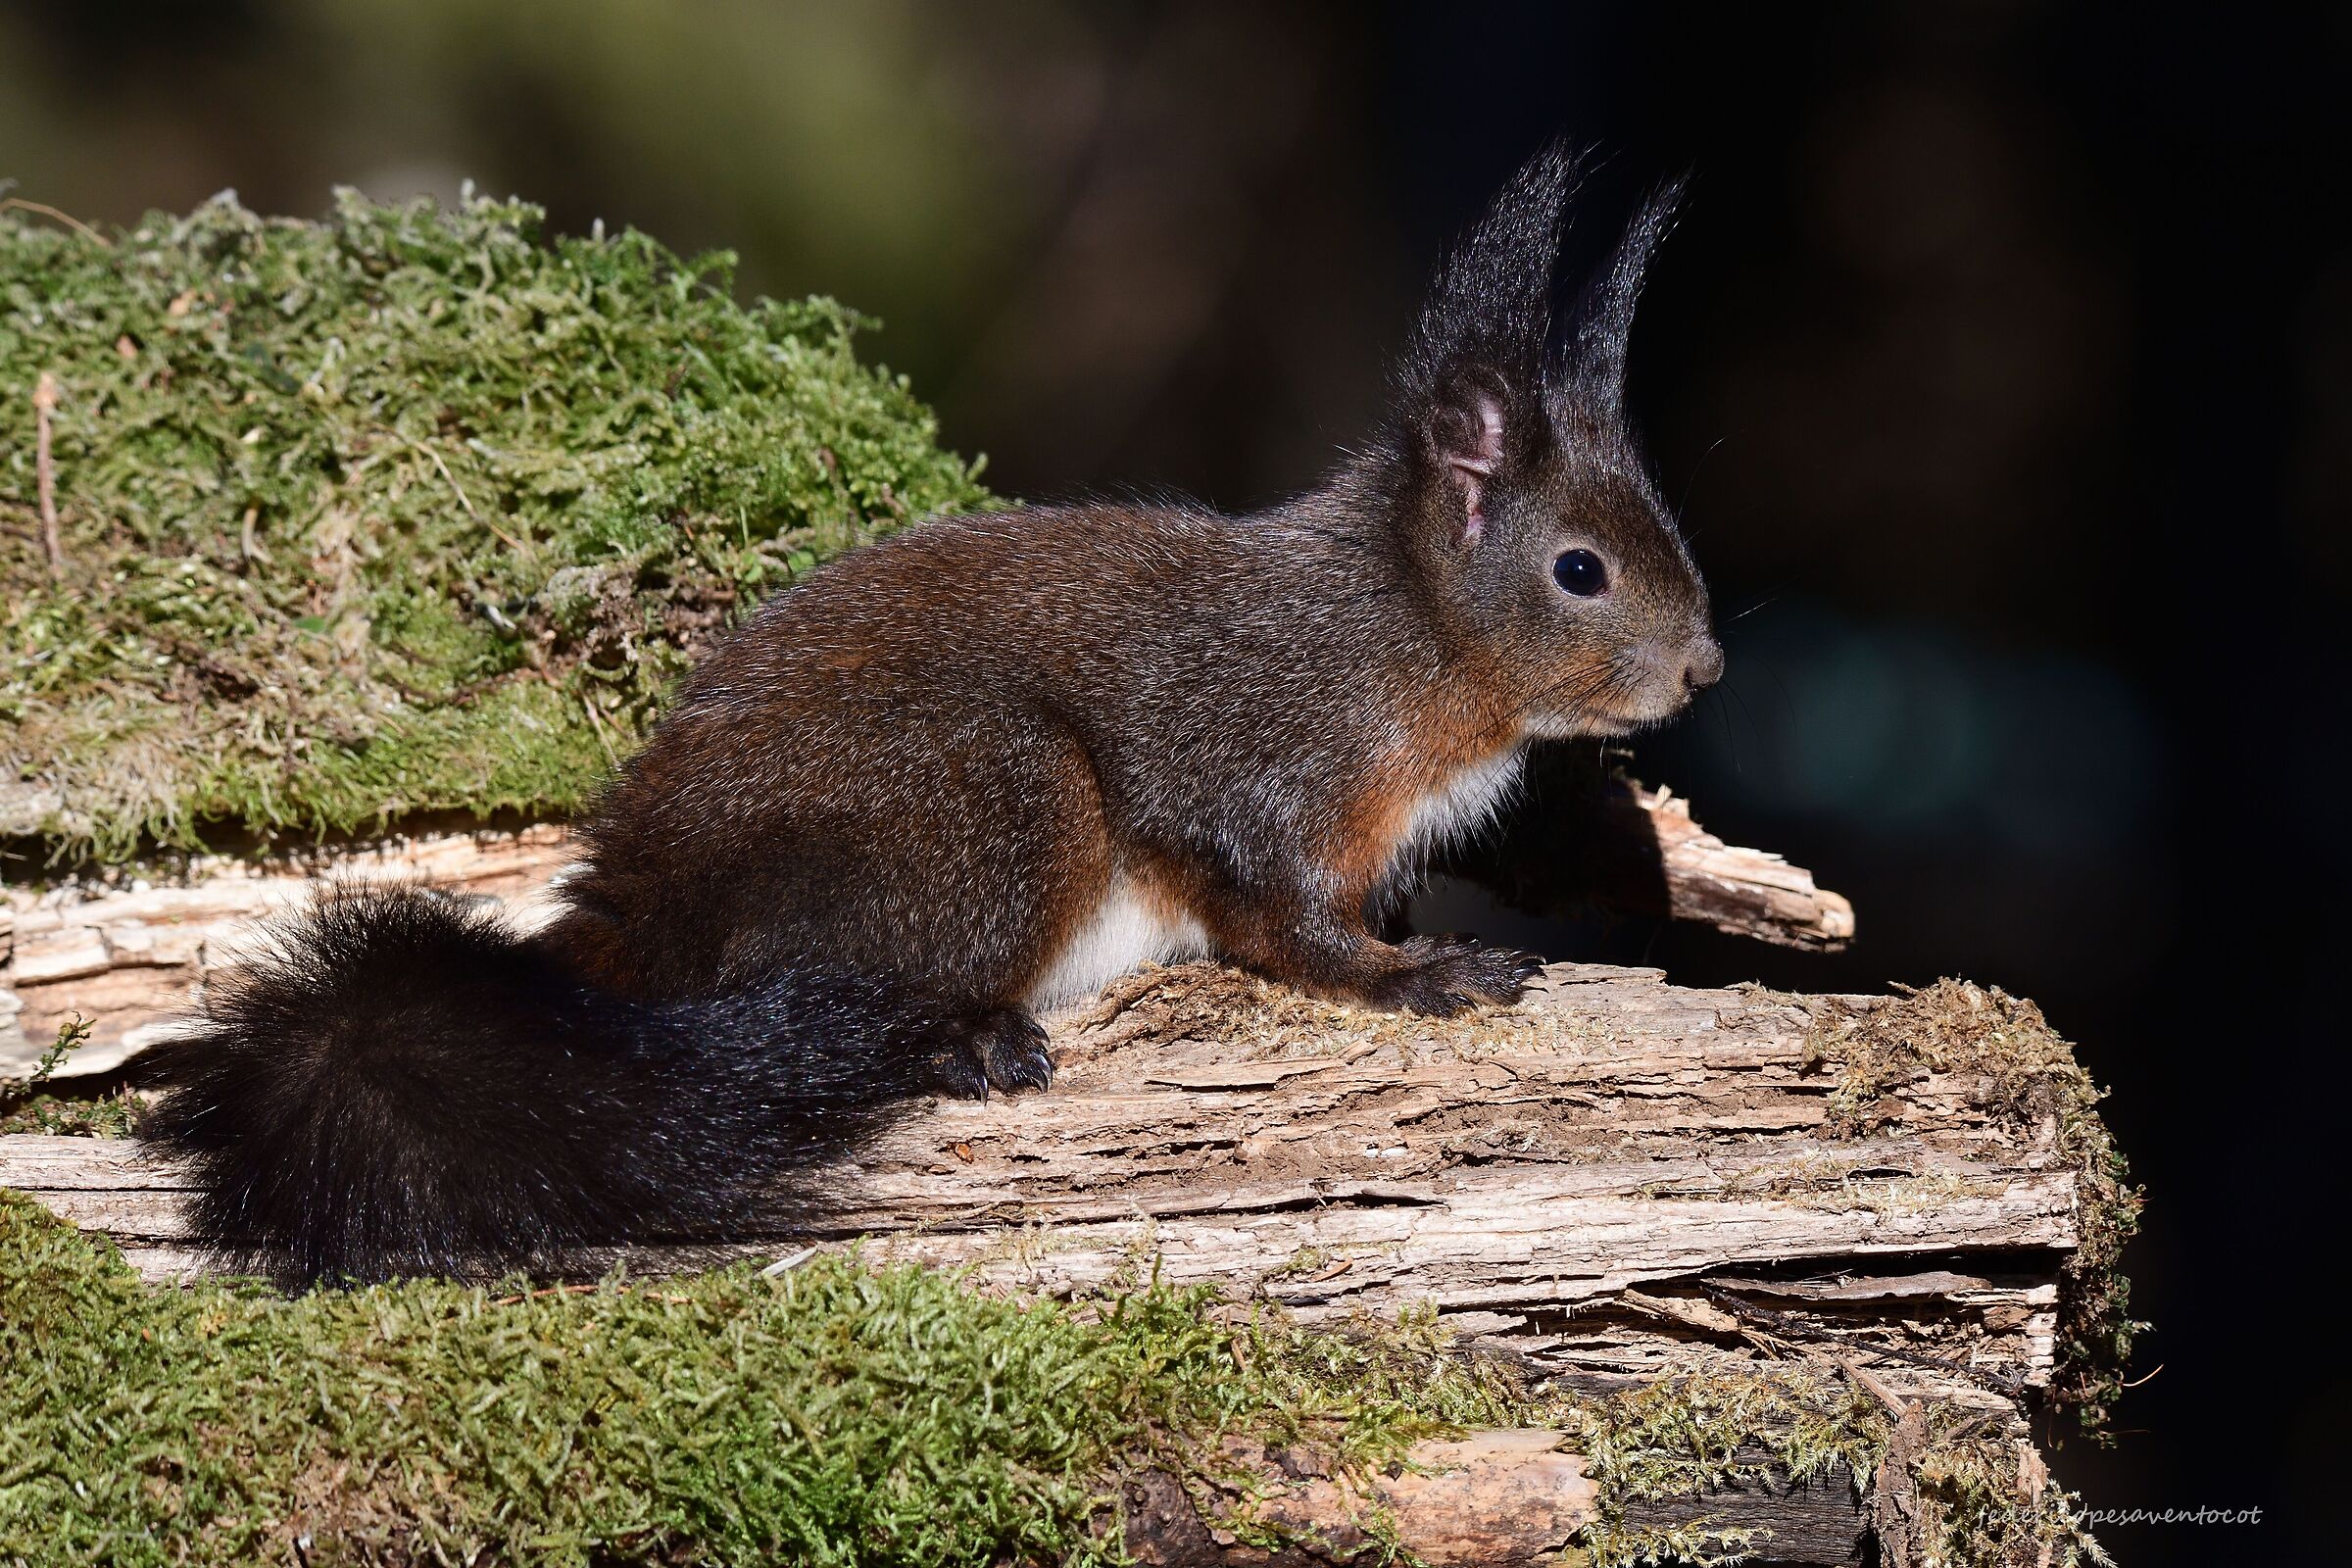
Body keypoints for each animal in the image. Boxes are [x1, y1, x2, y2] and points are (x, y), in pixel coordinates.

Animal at [137, 143, 1722, 1284]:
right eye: (1580, 569)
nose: (1704, 668)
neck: (1411, 645)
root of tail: (628, 924)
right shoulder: (1259, 758)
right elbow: (1281, 922)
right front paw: (1417, 978)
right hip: (996, 795)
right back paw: (956, 1039)